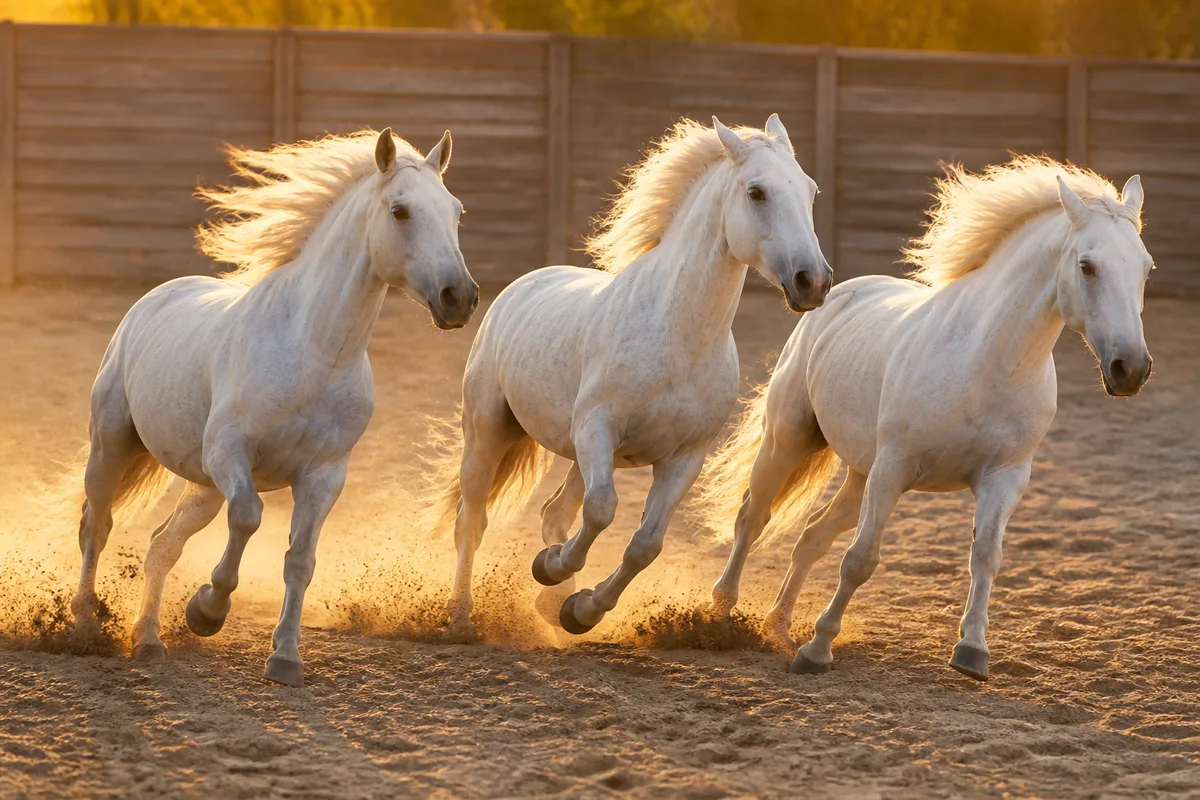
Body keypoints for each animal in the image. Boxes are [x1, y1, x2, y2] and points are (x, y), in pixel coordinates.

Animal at [68, 128, 478, 687]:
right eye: (400, 211)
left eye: (456, 210)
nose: (460, 297)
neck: (313, 354)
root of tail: (155, 298)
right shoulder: (230, 451)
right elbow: (248, 517)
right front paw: (207, 611)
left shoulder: (324, 476)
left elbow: (300, 559)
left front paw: (285, 659)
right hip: (112, 445)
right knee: (98, 524)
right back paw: (86, 622)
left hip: (202, 486)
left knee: (160, 545)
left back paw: (148, 641)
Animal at [423, 115, 832, 638]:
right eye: (756, 192)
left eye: (811, 191)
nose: (813, 281)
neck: (675, 337)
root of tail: (520, 286)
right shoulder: (597, 427)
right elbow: (601, 511)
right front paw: (553, 569)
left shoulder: (684, 458)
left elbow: (644, 543)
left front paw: (579, 609)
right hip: (488, 433)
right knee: (470, 521)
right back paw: (461, 615)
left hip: (578, 454)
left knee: (553, 512)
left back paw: (546, 602)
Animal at [699, 156, 1154, 681]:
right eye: (1087, 266)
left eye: (1146, 269)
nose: (1131, 369)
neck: (985, 362)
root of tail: (837, 292)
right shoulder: (895, 468)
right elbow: (860, 561)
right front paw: (817, 650)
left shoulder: (1004, 478)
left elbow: (986, 559)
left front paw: (972, 652)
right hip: (791, 440)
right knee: (753, 517)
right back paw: (720, 612)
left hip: (861, 475)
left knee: (811, 537)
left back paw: (777, 624)